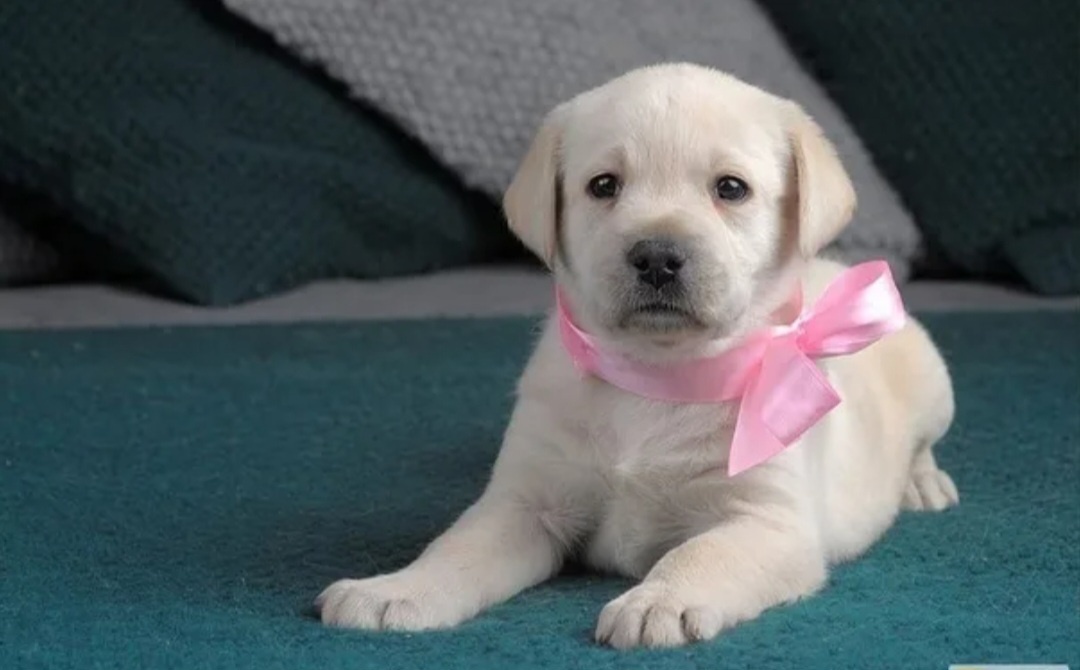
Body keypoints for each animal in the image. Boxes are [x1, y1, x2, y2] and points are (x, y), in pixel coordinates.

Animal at [316, 63, 958, 649]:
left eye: (730, 188)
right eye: (604, 185)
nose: (657, 257)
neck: (658, 377)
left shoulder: (768, 521)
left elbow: (702, 554)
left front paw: (658, 601)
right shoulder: (526, 501)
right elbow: (457, 547)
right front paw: (395, 589)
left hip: (934, 381)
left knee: (924, 444)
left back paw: (922, 483)